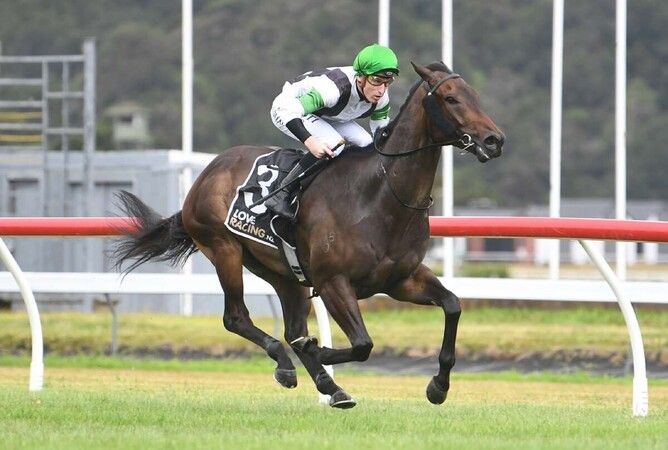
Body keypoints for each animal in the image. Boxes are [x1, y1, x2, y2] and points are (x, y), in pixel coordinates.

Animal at [112, 61, 504, 408]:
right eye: (451, 98)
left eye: (476, 95)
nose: (494, 140)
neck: (381, 194)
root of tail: (205, 175)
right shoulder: (334, 282)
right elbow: (362, 344)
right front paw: (319, 350)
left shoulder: (401, 280)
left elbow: (452, 305)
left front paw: (438, 386)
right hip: (224, 250)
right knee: (237, 318)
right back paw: (290, 365)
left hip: (284, 274)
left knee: (291, 328)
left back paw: (327, 384)